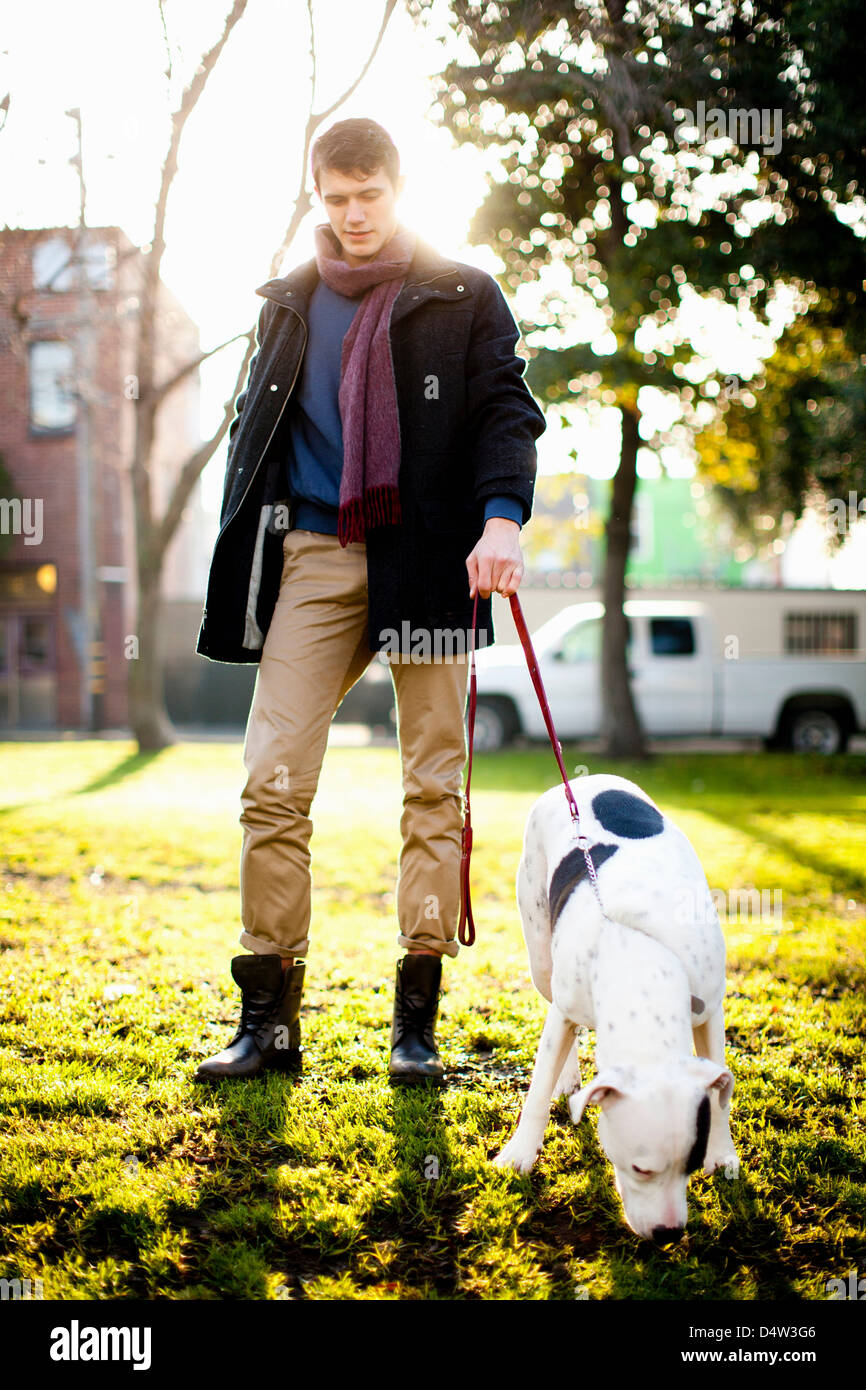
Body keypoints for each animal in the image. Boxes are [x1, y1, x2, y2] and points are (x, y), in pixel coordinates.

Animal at [494, 778, 739, 1245]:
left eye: (691, 1165)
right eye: (640, 1169)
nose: (668, 1233)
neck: (640, 956)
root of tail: (580, 780)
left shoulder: (710, 1009)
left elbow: (719, 1090)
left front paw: (723, 1153)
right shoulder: (565, 1003)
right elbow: (538, 1087)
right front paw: (519, 1153)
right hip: (541, 957)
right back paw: (567, 1078)